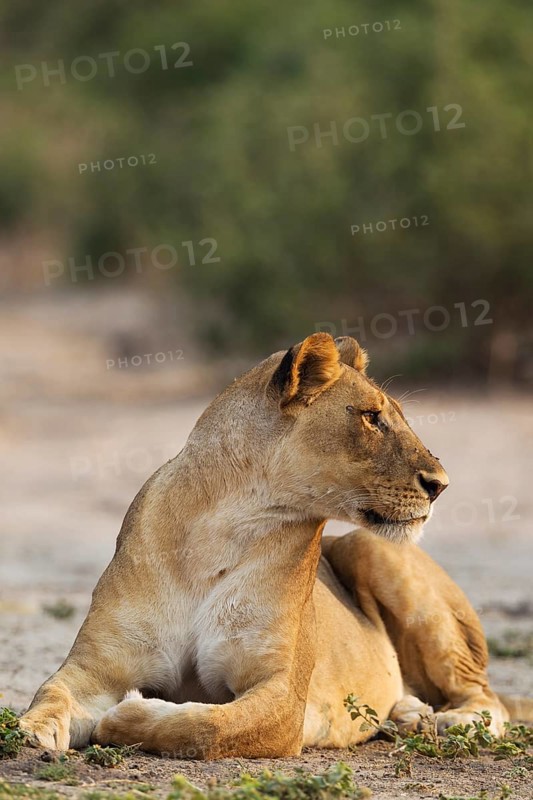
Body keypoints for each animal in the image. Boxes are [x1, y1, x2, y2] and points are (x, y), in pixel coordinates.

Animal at [19, 333, 529, 758]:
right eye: (371, 417)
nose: (441, 484)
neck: (225, 531)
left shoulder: (285, 696)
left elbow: (206, 727)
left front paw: (127, 715)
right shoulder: (96, 667)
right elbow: (51, 691)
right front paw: (30, 730)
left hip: (374, 551)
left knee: (488, 698)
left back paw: (448, 722)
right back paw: (409, 714)